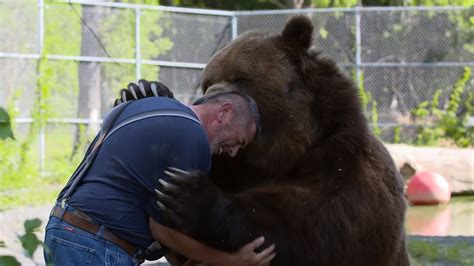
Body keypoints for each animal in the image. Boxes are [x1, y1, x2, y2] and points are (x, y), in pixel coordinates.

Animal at [118, 15, 408, 266]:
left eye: (241, 78)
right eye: (207, 82)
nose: (208, 100)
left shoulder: (343, 171)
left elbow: (308, 228)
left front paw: (189, 195)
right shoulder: (229, 167)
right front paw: (141, 90)